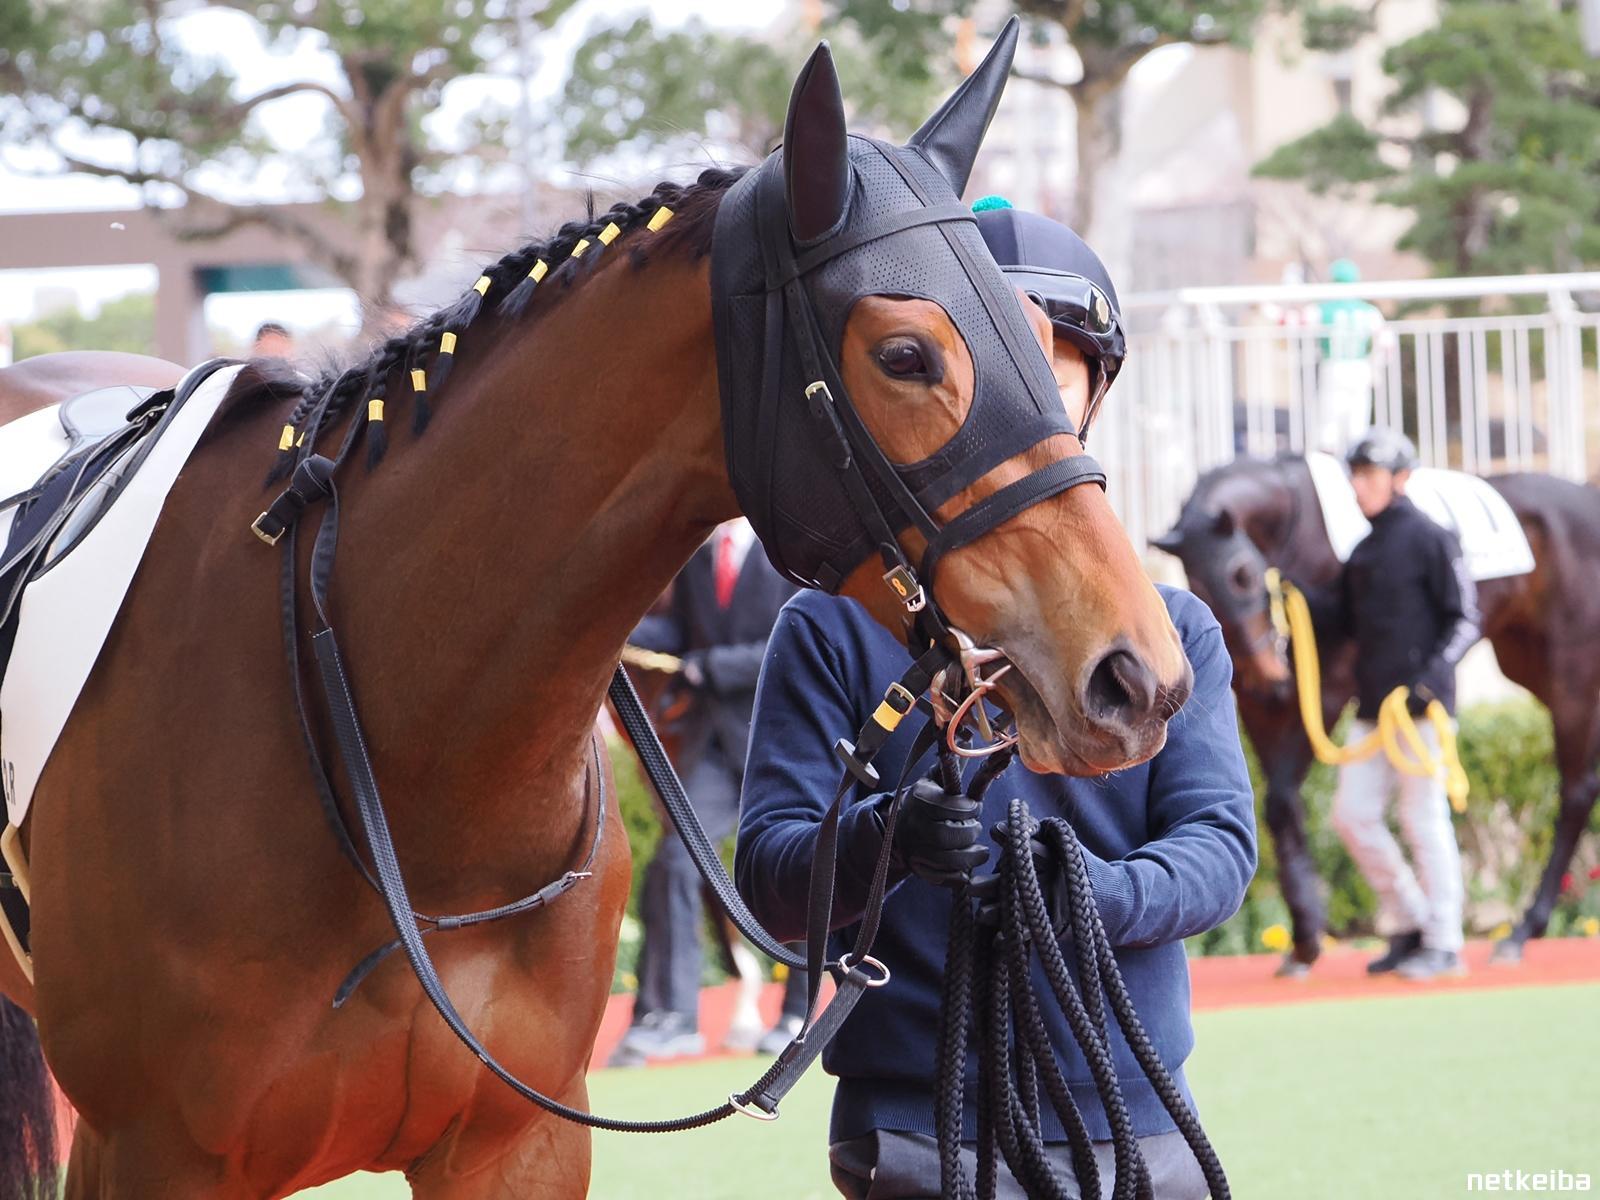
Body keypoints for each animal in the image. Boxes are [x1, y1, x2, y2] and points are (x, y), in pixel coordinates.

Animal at [1154, 455, 1600, 971]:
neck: (1297, 520)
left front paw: (1313, 935)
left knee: (1576, 791)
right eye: (1196, 584)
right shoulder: (1253, 701)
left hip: (1572, 676)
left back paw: (1522, 930)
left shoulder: (1323, 689)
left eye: (1242, 573)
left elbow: (1281, 797)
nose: (1267, 677)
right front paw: (1307, 936)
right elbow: (1271, 805)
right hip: (1528, 661)